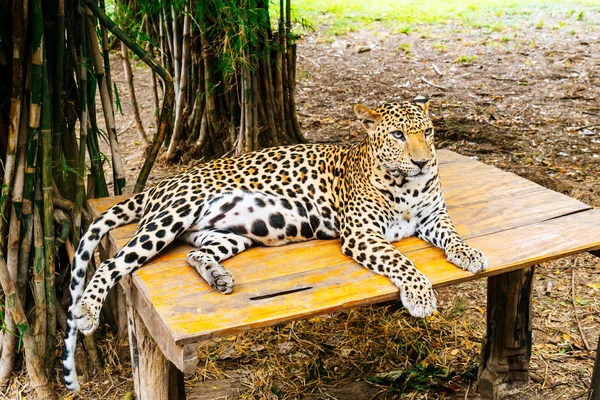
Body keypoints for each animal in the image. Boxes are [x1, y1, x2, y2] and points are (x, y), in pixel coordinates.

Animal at [64, 94, 488, 390]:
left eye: (428, 132)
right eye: (398, 135)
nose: (423, 162)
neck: (407, 186)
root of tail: (160, 184)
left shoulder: (434, 216)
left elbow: (453, 234)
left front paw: (470, 253)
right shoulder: (362, 234)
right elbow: (401, 261)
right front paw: (420, 296)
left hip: (229, 234)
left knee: (196, 254)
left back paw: (219, 277)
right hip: (171, 218)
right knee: (113, 262)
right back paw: (87, 310)